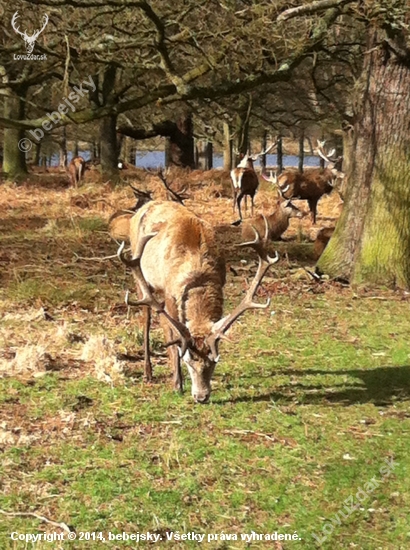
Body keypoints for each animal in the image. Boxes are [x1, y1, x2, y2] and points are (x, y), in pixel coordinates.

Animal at [117, 203, 278, 406]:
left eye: (215, 361)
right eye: (188, 361)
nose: (201, 397)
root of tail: (142, 207)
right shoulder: (170, 293)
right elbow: (174, 337)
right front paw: (177, 384)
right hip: (141, 277)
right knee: (147, 318)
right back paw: (148, 372)